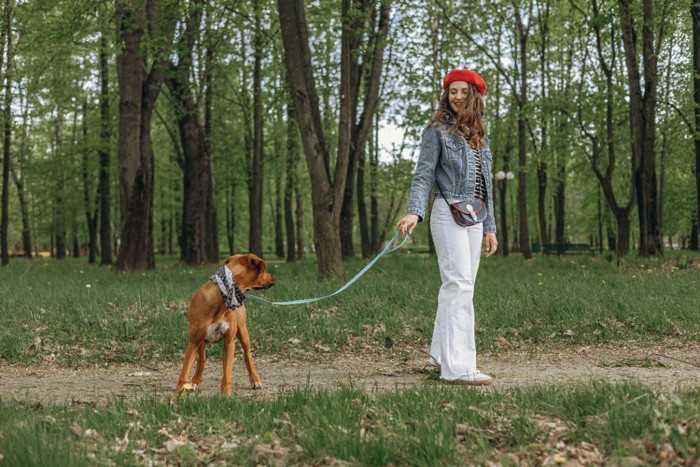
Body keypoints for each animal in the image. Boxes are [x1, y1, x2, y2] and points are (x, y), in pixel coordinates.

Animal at [171, 254, 274, 400]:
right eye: (264, 270)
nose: (273, 278)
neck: (222, 296)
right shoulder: (194, 342)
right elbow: (184, 372)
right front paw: (176, 396)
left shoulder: (229, 342)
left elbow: (227, 372)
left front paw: (225, 396)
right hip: (201, 342)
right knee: (202, 359)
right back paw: (196, 381)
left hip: (243, 332)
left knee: (247, 354)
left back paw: (255, 379)